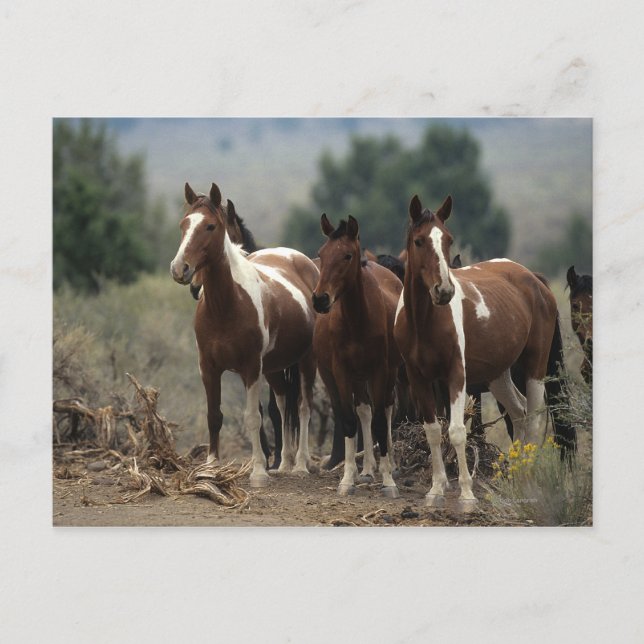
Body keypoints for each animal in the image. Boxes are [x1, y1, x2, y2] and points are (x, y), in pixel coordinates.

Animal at [170, 182, 319, 486]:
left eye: (211, 226)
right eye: (184, 224)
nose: (180, 269)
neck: (226, 305)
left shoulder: (250, 368)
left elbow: (253, 417)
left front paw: (259, 471)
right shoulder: (208, 367)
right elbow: (214, 415)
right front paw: (211, 467)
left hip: (306, 361)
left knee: (303, 406)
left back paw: (300, 464)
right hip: (274, 368)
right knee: (283, 403)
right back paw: (284, 463)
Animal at [312, 214, 404, 497]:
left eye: (347, 255)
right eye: (322, 253)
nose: (320, 299)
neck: (357, 320)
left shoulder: (380, 370)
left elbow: (380, 422)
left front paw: (389, 482)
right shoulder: (341, 372)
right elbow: (351, 420)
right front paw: (347, 480)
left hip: (388, 373)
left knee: (386, 409)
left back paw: (389, 465)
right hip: (349, 377)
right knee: (364, 409)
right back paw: (367, 470)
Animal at [394, 194, 574, 510]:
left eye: (449, 240)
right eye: (418, 240)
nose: (444, 291)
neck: (424, 322)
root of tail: (534, 278)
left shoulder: (456, 375)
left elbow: (456, 431)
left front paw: (466, 495)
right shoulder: (419, 378)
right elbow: (433, 431)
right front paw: (435, 490)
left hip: (535, 367)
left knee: (534, 417)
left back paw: (531, 482)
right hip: (498, 374)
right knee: (519, 412)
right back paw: (519, 479)